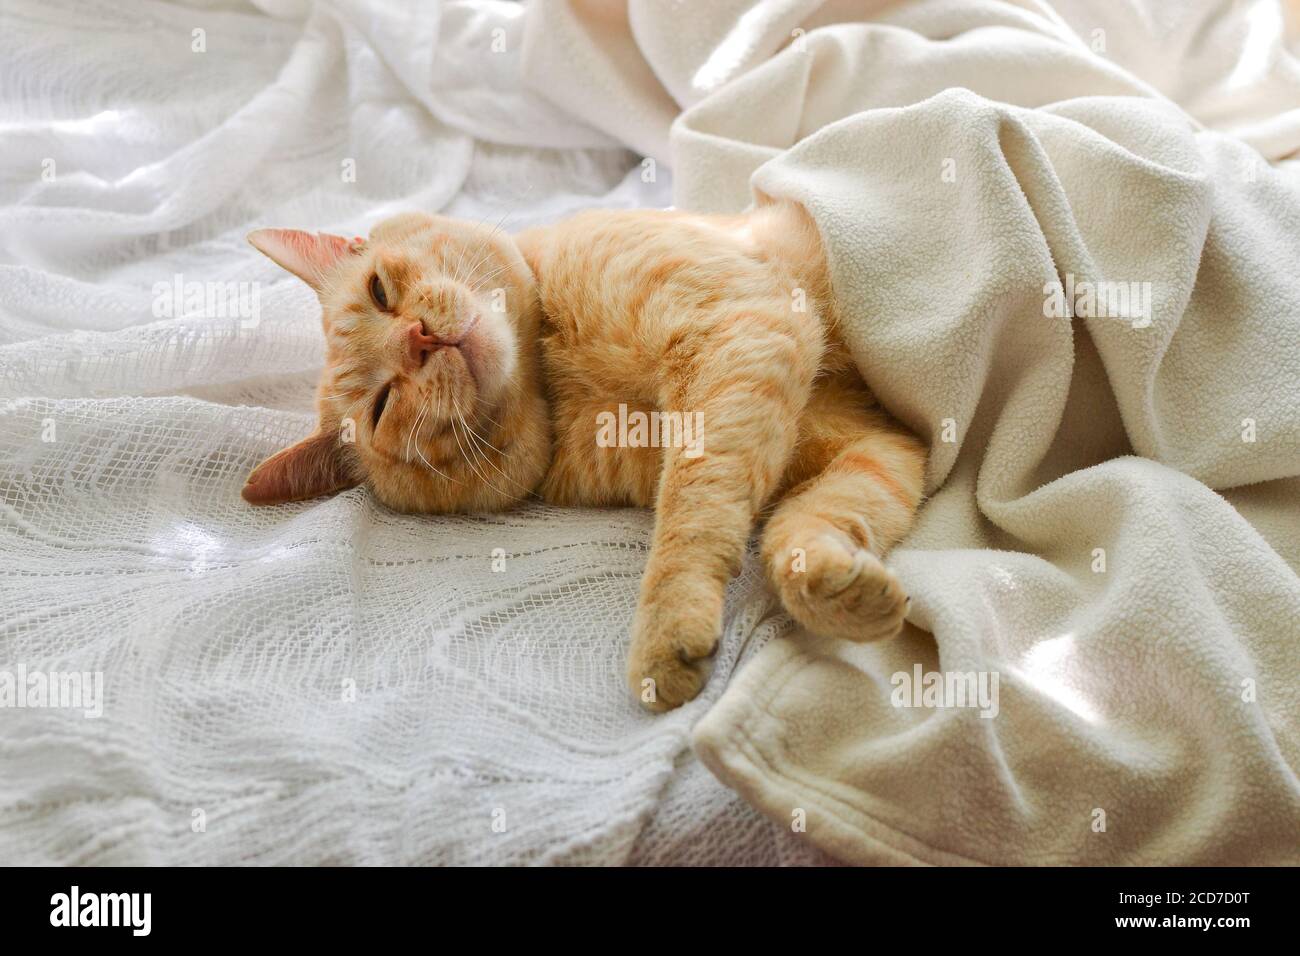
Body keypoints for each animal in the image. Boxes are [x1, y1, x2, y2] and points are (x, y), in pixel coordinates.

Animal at [244, 201, 930, 712]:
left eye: (380, 291)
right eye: (384, 405)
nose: (418, 340)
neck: (557, 379)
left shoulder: (741, 330)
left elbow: (692, 511)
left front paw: (667, 625)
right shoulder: (880, 447)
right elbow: (810, 519)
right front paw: (837, 589)